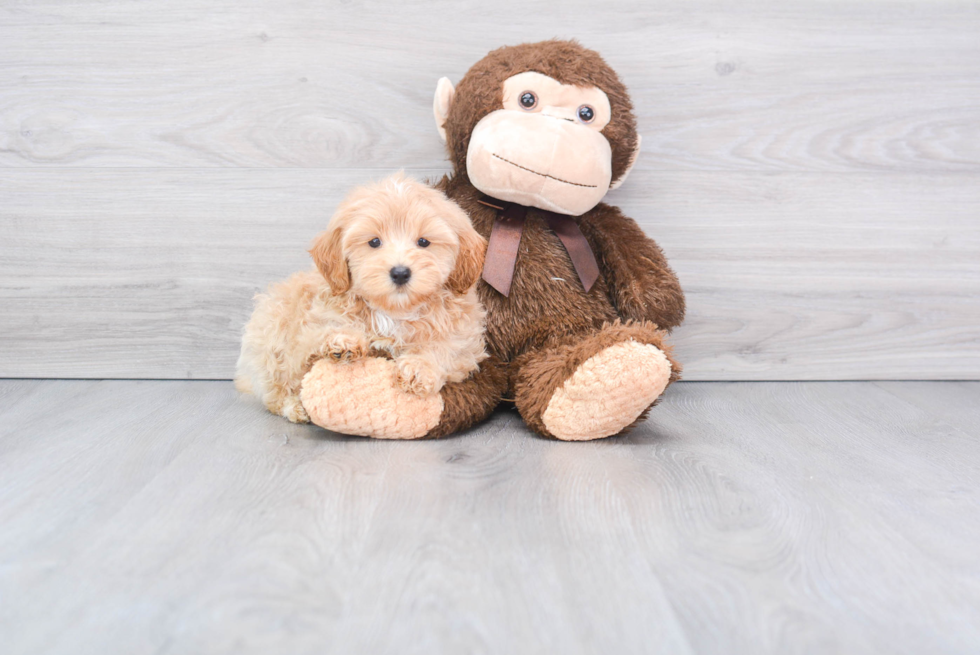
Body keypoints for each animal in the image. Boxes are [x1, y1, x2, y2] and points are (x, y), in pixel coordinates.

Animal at [237, 172, 490, 422]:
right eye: (374, 242)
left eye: (423, 242)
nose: (400, 273)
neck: (393, 311)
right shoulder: (311, 324)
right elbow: (316, 335)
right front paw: (342, 340)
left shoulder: (465, 341)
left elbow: (445, 347)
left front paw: (419, 367)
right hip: (271, 334)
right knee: (275, 392)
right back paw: (295, 407)